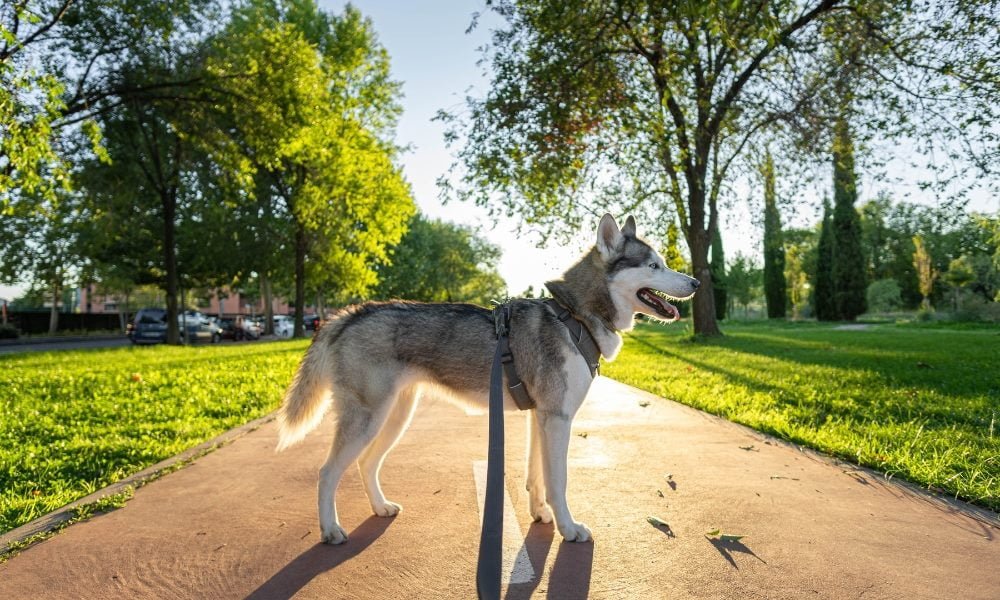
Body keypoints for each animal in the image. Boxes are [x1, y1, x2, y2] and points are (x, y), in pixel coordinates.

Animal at [274, 214, 696, 544]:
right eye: (654, 266)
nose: (694, 282)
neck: (573, 316)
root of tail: (349, 314)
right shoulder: (558, 418)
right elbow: (558, 481)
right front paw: (569, 529)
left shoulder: (540, 418)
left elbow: (536, 476)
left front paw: (541, 515)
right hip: (368, 418)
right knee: (328, 472)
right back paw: (330, 530)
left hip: (394, 417)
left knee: (366, 463)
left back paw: (379, 508)